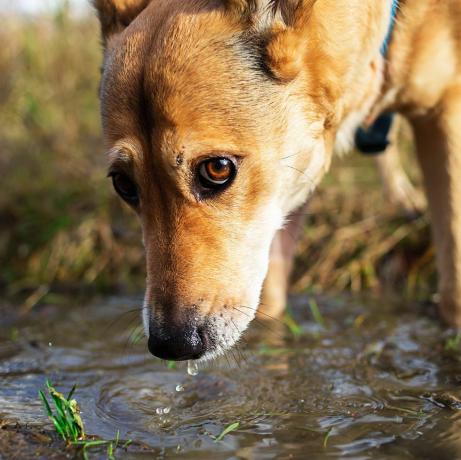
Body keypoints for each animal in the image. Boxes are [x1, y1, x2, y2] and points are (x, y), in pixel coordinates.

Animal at [91, 0, 460, 362]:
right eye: (123, 185)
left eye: (217, 169)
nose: (171, 345)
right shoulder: (286, 191)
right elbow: (271, 297)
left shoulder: (445, 115)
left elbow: (453, 276)